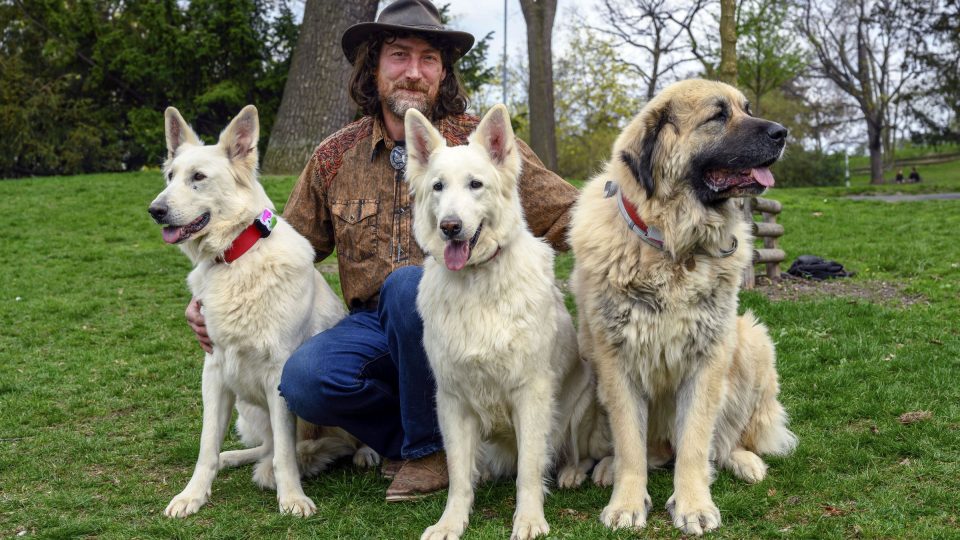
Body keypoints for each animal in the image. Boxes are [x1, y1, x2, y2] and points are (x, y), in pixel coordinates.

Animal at [151, 106, 376, 520]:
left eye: (198, 177)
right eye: (170, 176)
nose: (155, 210)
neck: (235, 258)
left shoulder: (278, 376)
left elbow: (285, 455)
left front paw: (292, 497)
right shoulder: (215, 373)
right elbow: (207, 446)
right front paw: (193, 495)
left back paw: (365, 452)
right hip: (246, 410)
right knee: (264, 447)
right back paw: (235, 457)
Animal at [404, 103, 608, 536]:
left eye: (476, 184)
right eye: (438, 187)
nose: (449, 227)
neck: (476, 282)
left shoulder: (530, 394)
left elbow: (529, 469)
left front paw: (529, 519)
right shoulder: (453, 401)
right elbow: (458, 474)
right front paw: (451, 522)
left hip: (581, 406)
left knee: (576, 453)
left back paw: (571, 473)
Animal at [568, 80, 800, 536]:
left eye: (747, 109)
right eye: (718, 116)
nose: (782, 132)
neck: (675, 247)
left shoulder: (707, 359)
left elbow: (694, 443)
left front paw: (694, 505)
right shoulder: (617, 362)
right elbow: (629, 443)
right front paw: (626, 503)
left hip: (751, 342)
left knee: (723, 441)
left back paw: (742, 460)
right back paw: (603, 466)